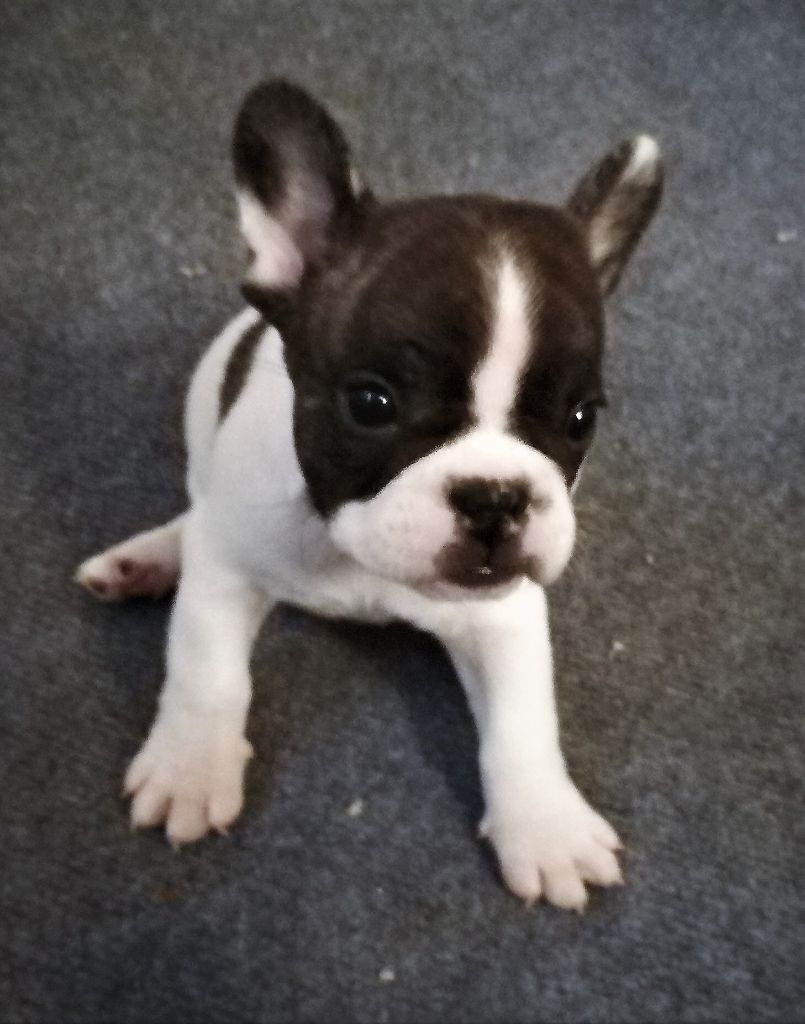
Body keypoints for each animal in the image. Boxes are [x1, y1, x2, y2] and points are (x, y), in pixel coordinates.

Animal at [76, 80, 662, 910]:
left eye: (581, 418)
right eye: (371, 403)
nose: (494, 497)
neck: (349, 556)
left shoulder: (504, 615)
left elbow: (522, 723)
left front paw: (545, 826)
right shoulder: (228, 570)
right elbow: (206, 671)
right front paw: (191, 764)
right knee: (194, 514)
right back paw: (150, 558)